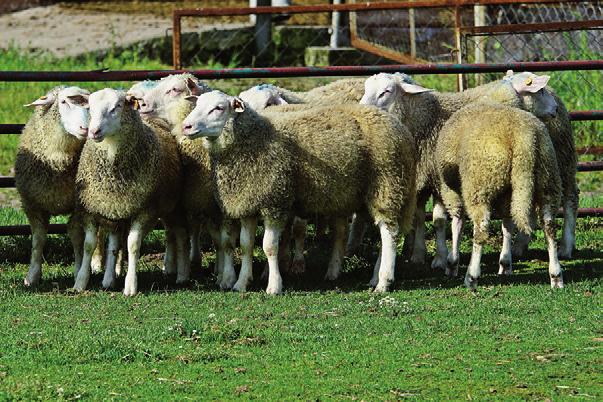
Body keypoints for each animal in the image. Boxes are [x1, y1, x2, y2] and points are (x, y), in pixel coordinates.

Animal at [16, 85, 91, 286]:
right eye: (63, 102)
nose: (85, 128)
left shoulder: (79, 205)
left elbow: (76, 235)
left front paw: (78, 271)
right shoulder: (32, 204)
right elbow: (38, 239)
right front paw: (32, 276)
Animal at [74, 88, 190, 296]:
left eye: (117, 107)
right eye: (90, 108)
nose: (94, 132)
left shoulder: (144, 210)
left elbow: (133, 245)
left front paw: (130, 286)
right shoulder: (92, 208)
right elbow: (90, 245)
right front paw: (81, 281)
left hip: (173, 205)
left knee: (181, 234)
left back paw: (182, 275)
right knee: (117, 242)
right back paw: (111, 276)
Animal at [182, 90, 418, 292]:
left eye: (219, 108)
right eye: (197, 104)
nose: (186, 126)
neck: (256, 138)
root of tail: (400, 128)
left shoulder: (275, 201)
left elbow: (269, 247)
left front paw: (274, 286)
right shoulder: (248, 202)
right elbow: (246, 245)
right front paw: (241, 283)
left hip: (387, 185)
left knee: (390, 233)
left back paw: (384, 282)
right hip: (362, 194)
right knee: (377, 234)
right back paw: (368, 277)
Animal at [436, 100, 564, 288]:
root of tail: (524, 138)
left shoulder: (451, 192)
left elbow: (457, 223)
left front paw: (452, 263)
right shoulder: (506, 195)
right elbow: (507, 226)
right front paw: (505, 263)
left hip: (479, 183)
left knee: (481, 227)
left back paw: (471, 277)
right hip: (548, 180)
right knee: (549, 226)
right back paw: (556, 276)